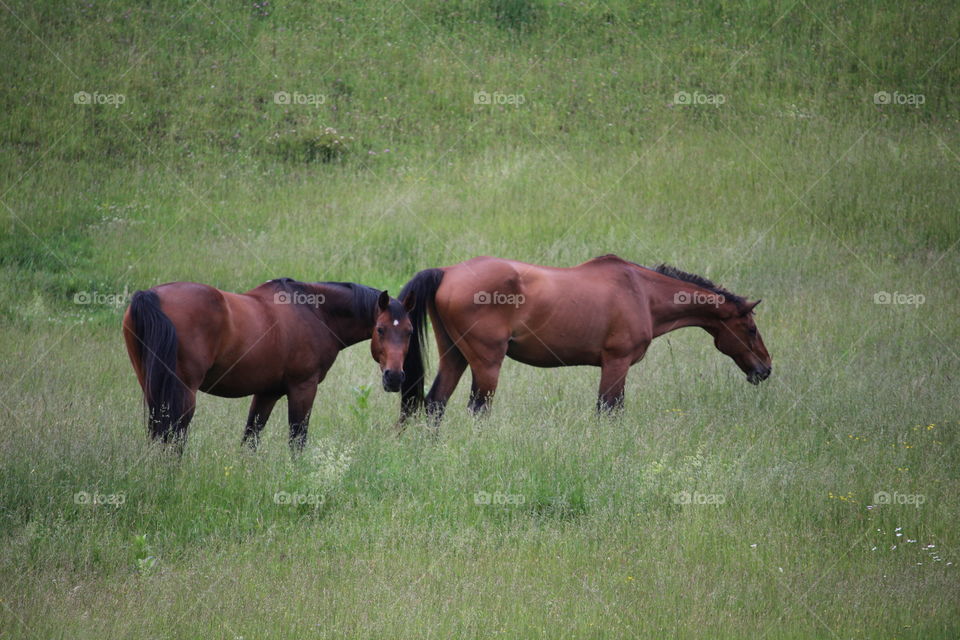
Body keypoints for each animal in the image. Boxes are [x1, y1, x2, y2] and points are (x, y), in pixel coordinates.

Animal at [122, 278, 414, 453]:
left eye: (410, 331)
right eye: (380, 329)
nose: (394, 377)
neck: (314, 312)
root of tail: (150, 296)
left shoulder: (267, 393)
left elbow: (250, 439)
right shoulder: (303, 388)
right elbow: (297, 440)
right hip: (182, 394)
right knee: (173, 438)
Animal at [397, 255, 771, 426]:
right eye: (751, 329)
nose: (765, 369)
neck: (642, 292)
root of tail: (448, 272)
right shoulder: (617, 363)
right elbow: (609, 410)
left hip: (454, 356)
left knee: (435, 403)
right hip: (486, 363)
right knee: (477, 409)